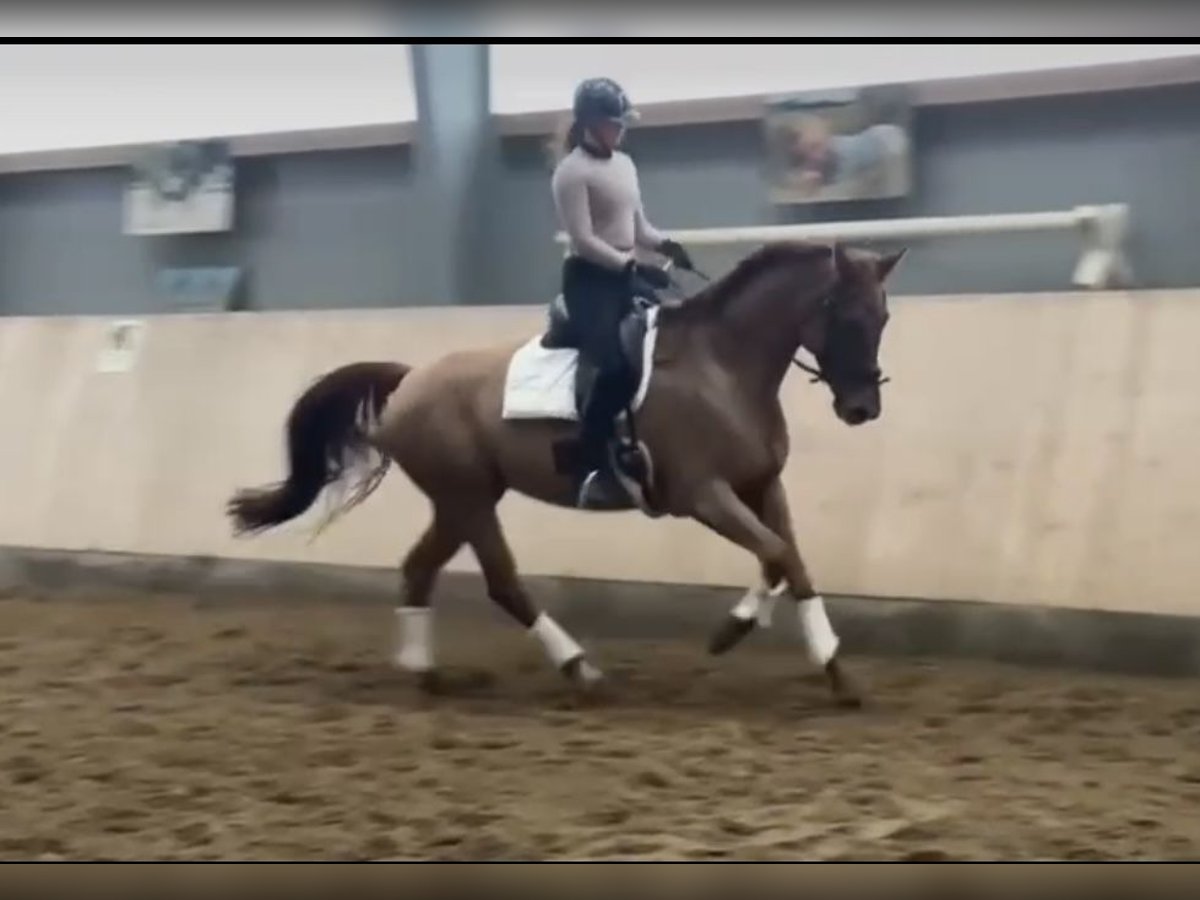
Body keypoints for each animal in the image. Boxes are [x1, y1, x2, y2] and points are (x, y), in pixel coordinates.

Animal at [225, 241, 902, 710]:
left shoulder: (761, 485)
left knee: (419, 569)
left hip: (461, 500)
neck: (722, 367)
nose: (863, 409)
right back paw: (580, 670)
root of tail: (410, 379)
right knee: (502, 583)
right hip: (469, 498)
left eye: (884, 317)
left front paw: (836, 673)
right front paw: (730, 632)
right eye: (844, 314)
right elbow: (777, 555)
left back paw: (426, 673)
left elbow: (789, 561)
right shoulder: (703, 496)